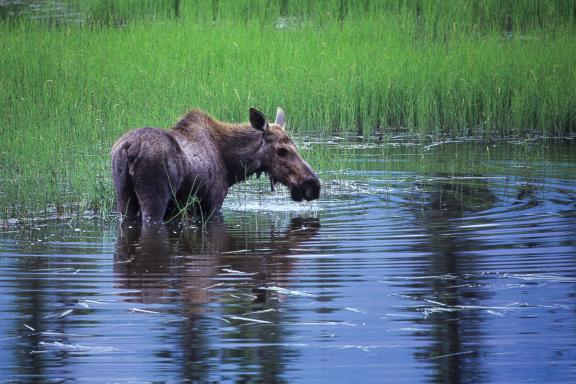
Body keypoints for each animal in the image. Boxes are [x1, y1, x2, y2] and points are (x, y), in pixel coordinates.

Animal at [112, 107, 320, 222]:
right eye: (282, 150)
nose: (313, 185)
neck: (233, 167)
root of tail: (130, 149)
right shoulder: (213, 202)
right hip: (155, 199)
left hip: (124, 198)